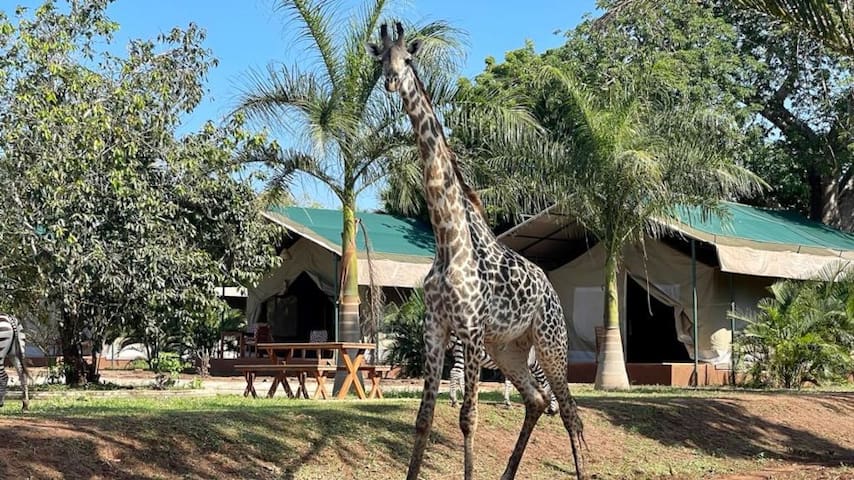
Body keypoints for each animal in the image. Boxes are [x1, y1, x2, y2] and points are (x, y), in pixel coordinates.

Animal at [368, 23, 588, 480]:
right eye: (381, 58)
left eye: (409, 59)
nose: (392, 81)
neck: (448, 241)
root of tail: (551, 289)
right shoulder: (435, 330)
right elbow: (424, 418)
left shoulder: (469, 331)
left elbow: (468, 417)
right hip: (508, 351)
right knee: (537, 400)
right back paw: (507, 474)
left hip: (549, 343)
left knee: (570, 412)